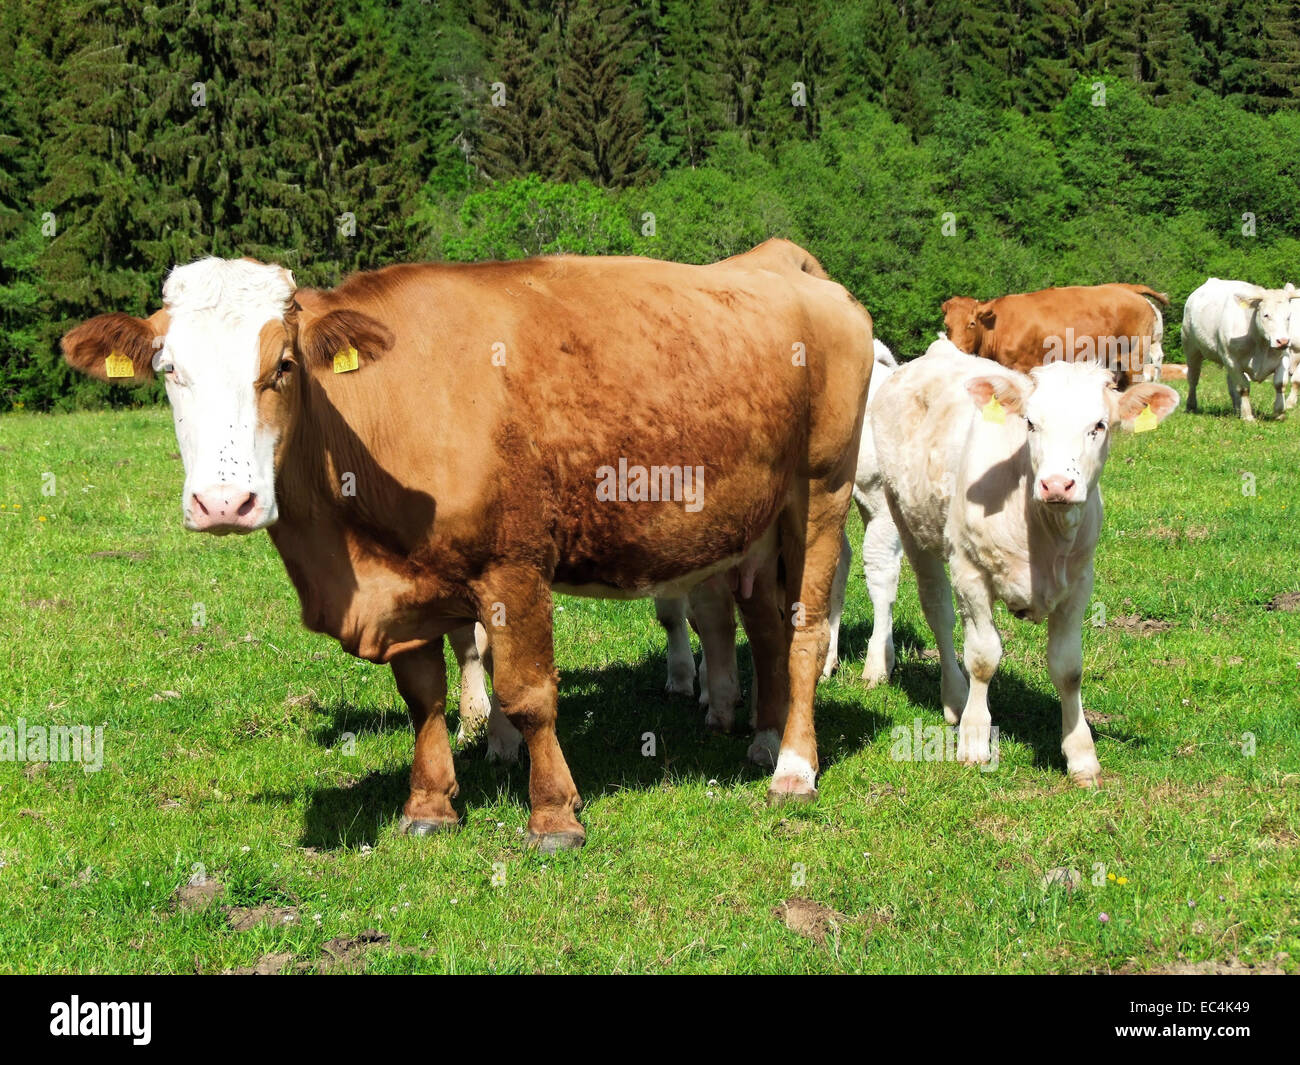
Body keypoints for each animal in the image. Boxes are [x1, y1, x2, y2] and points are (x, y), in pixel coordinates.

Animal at [60, 239, 873, 851]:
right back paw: (763, 739)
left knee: (805, 631)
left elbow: (530, 693)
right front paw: (429, 806)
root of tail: (784, 262)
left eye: (284, 365)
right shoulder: (402, 582)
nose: (224, 503)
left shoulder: (514, 566)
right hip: (756, 523)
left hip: (821, 492)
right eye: (169, 370)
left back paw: (793, 766)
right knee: (765, 625)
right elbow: (422, 694)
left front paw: (553, 816)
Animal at [870, 339, 1179, 786]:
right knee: (938, 612)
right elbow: (983, 657)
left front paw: (1081, 755)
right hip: (908, 519)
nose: (1057, 484)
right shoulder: (970, 571)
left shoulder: (1079, 583)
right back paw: (955, 698)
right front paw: (975, 740)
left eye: (1099, 425)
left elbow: (1068, 668)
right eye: (1031, 424)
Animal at [942, 283, 1169, 388]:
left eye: (971, 323)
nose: (955, 350)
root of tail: (1127, 288)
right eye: (947, 325)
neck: (997, 326)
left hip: (1135, 355)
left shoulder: (1024, 368)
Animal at [1182, 278, 1299, 420]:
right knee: (1193, 379)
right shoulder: (1232, 360)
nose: (1283, 341)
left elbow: (1280, 384)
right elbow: (1243, 387)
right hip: (1191, 349)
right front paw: (1248, 416)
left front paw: (1279, 412)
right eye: (1266, 315)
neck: (1261, 344)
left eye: (1288, 316)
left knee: (1231, 385)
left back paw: (1237, 408)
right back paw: (1191, 406)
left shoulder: (1284, 357)